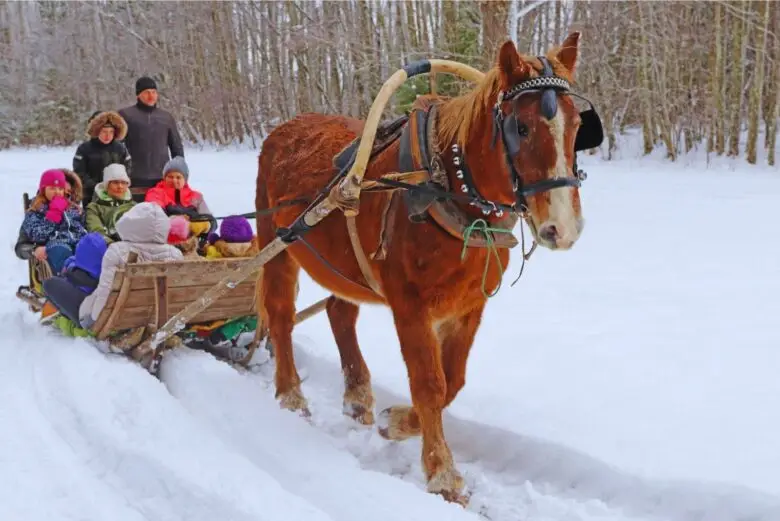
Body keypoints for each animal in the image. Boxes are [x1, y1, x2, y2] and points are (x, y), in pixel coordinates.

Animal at [253, 33, 600, 504]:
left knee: (339, 313)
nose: (562, 228)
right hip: (278, 246)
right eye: (522, 128)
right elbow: (430, 383)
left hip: (345, 268)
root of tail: (283, 128)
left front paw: (397, 422)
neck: (447, 187)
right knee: (281, 316)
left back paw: (357, 398)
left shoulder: (468, 306)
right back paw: (291, 395)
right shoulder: (410, 305)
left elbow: (452, 380)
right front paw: (442, 473)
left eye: (579, 127)